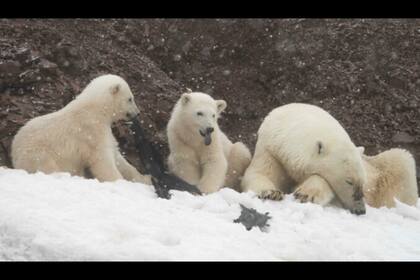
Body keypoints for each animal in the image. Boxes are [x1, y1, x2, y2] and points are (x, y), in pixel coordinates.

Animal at [10, 74, 153, 184]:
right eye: (130, 99)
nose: (137, 113)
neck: (96, 110)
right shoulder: (91, 131)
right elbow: (102, 160)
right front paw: (119, 182)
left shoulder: (105, 131)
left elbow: (116, 154)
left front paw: (145, 178)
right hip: (38, 154)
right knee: (48, 166)